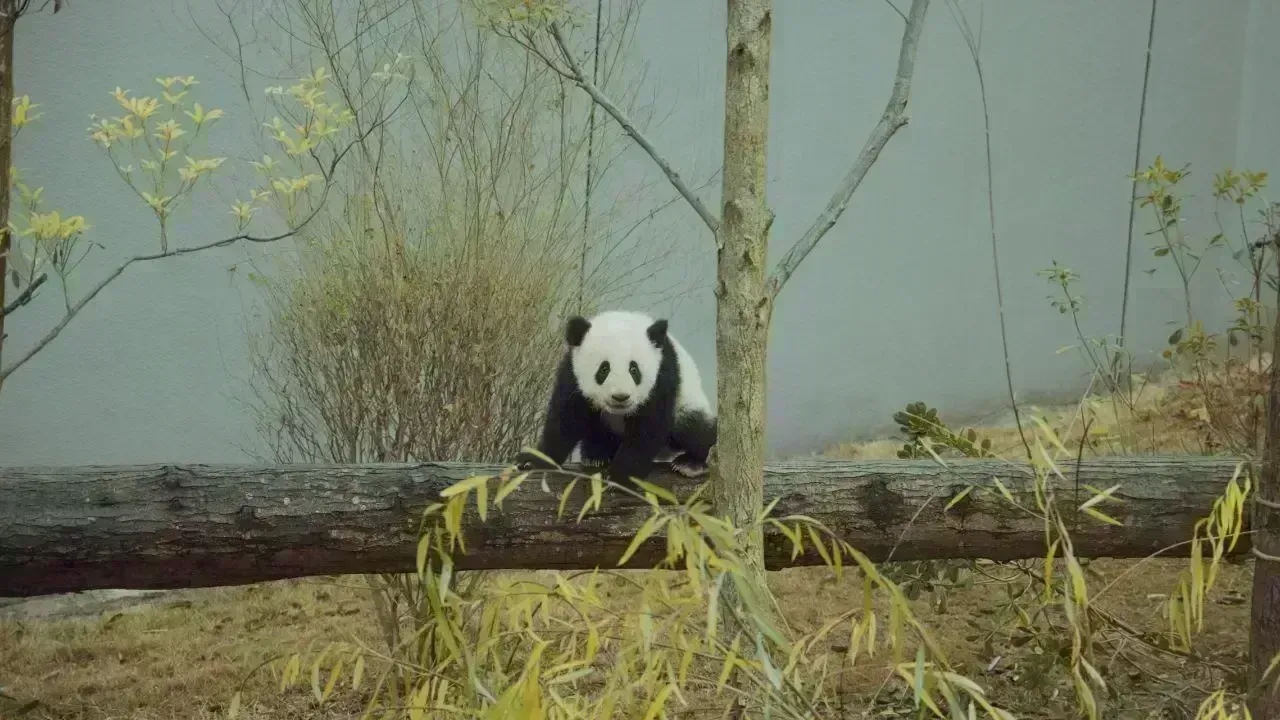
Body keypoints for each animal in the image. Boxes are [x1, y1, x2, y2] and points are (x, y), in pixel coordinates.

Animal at [514, 310, 717, 484]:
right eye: (604, 369)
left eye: (634, 369)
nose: (621, 397)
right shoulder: (572, 374)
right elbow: (565, 420)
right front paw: (532, 460)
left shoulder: (662, 376)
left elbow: (648, 427)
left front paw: (621, 477)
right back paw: (596, 453)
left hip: (688, 402)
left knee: (696, 428)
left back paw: (690, 463)